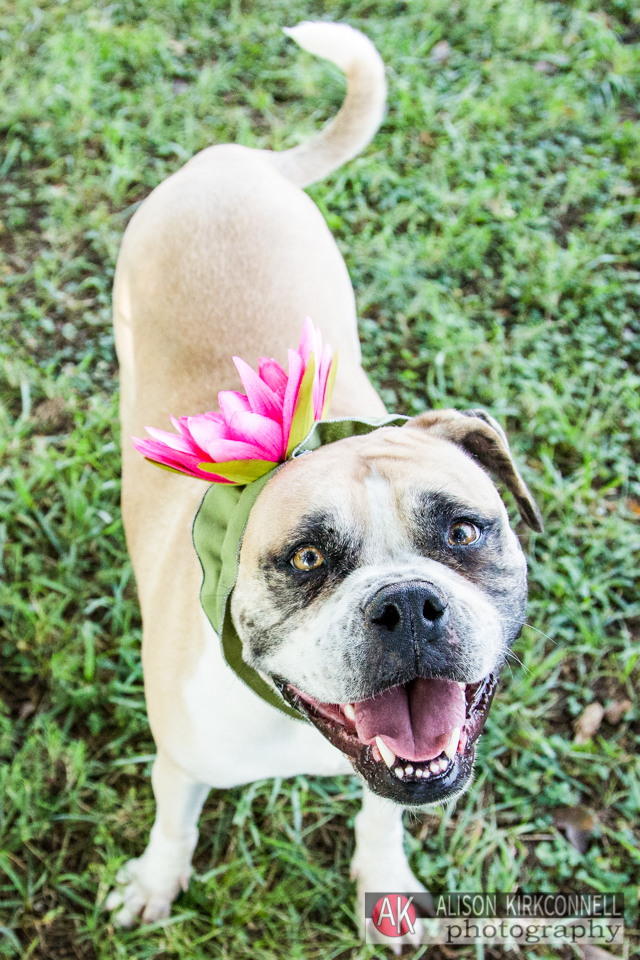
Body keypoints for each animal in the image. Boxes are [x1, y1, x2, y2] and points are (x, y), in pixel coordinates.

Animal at [107, 20, 544, 936]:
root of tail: (233, 159)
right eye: (307, 560)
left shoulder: (404, 774)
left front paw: (386, 887)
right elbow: (174, 825)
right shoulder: (180, 763)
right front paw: (155, 882)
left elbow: (384, 817)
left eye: (464, 531)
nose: (409, 605)